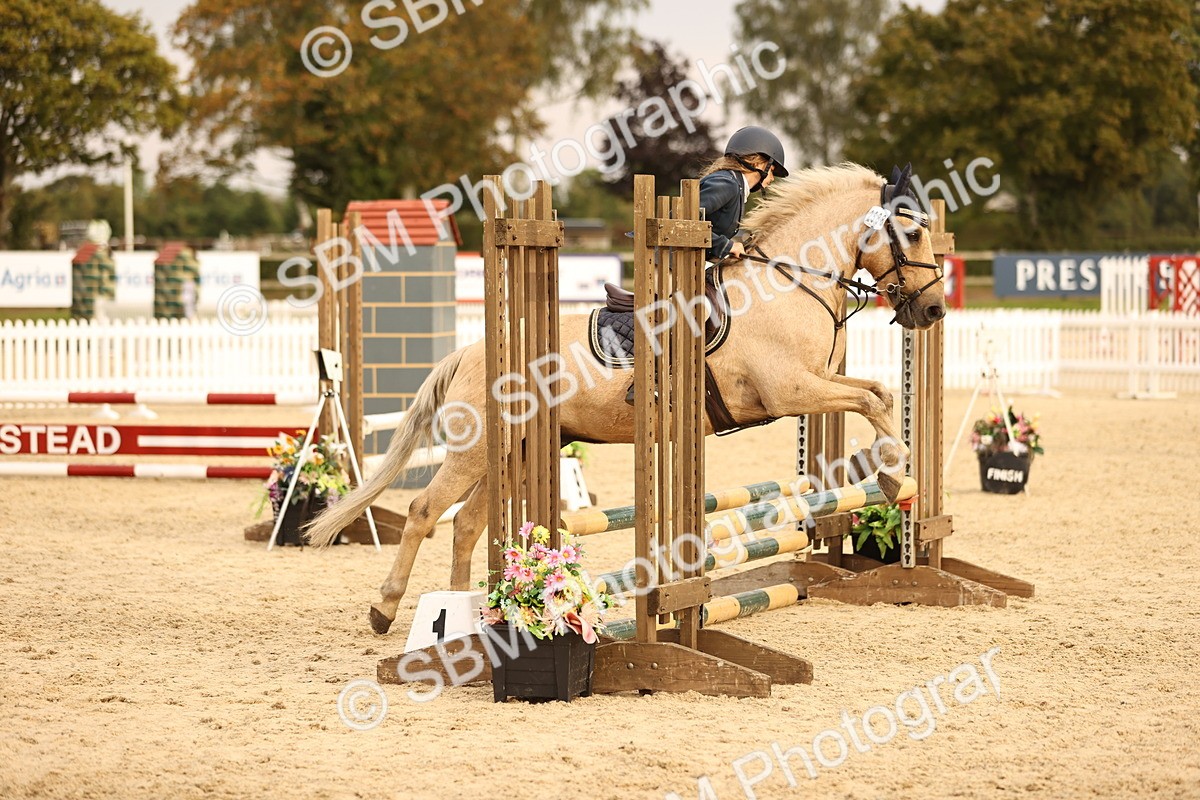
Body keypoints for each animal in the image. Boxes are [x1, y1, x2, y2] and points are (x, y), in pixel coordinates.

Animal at [305, 162, 947, 635]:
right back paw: (387, 609)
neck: (789, 286)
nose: (935, 310)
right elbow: (873, 401)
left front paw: (895, 477)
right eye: (913, 233)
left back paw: (469, 616)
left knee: (464, 525)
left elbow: (876, 393)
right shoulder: (791, 392)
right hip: (476, 449)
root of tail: (469, 351)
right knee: (423, 514)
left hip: (510, 451)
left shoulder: (811, 387)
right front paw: (894, 475)